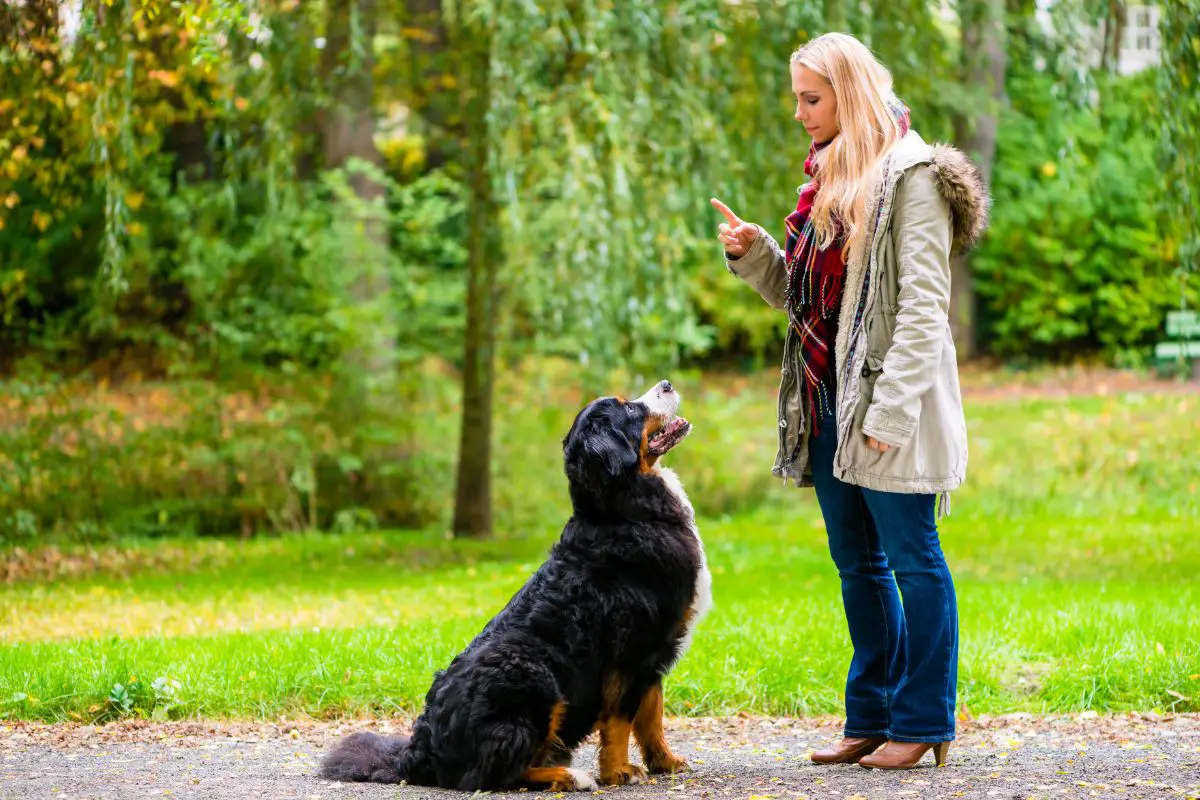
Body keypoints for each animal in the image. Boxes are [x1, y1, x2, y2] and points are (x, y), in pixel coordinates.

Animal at [321, 381, 710, 796]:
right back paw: (570, 775)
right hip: (532, 673)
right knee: (492, 775)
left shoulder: (655, 652)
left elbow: (651, 715)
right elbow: (621, 720)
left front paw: (665, 762)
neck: (623, 513)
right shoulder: (632, 650)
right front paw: (619, 771)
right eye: (631, 410)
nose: (667, 384)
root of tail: (418, 753)